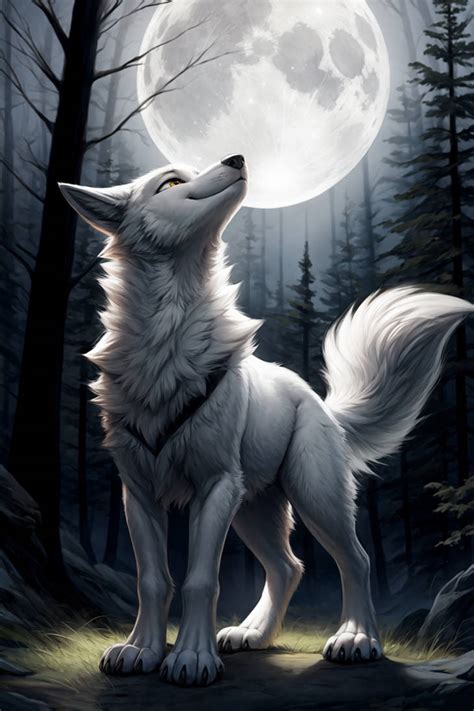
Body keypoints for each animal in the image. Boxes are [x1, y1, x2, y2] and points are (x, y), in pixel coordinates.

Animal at [59, 155, 473, 687]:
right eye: (170, 182)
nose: (237, 159)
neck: (167, 331)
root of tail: (319, 402)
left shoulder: (214, 487)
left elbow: (199, 579)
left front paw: (191, 659)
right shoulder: (139, 495)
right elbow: (152, 580)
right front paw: (141, 651)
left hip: (312, 496)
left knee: (355, 560)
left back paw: (358, 638)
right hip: (252, 511)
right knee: (288, 566)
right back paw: (252, 634)